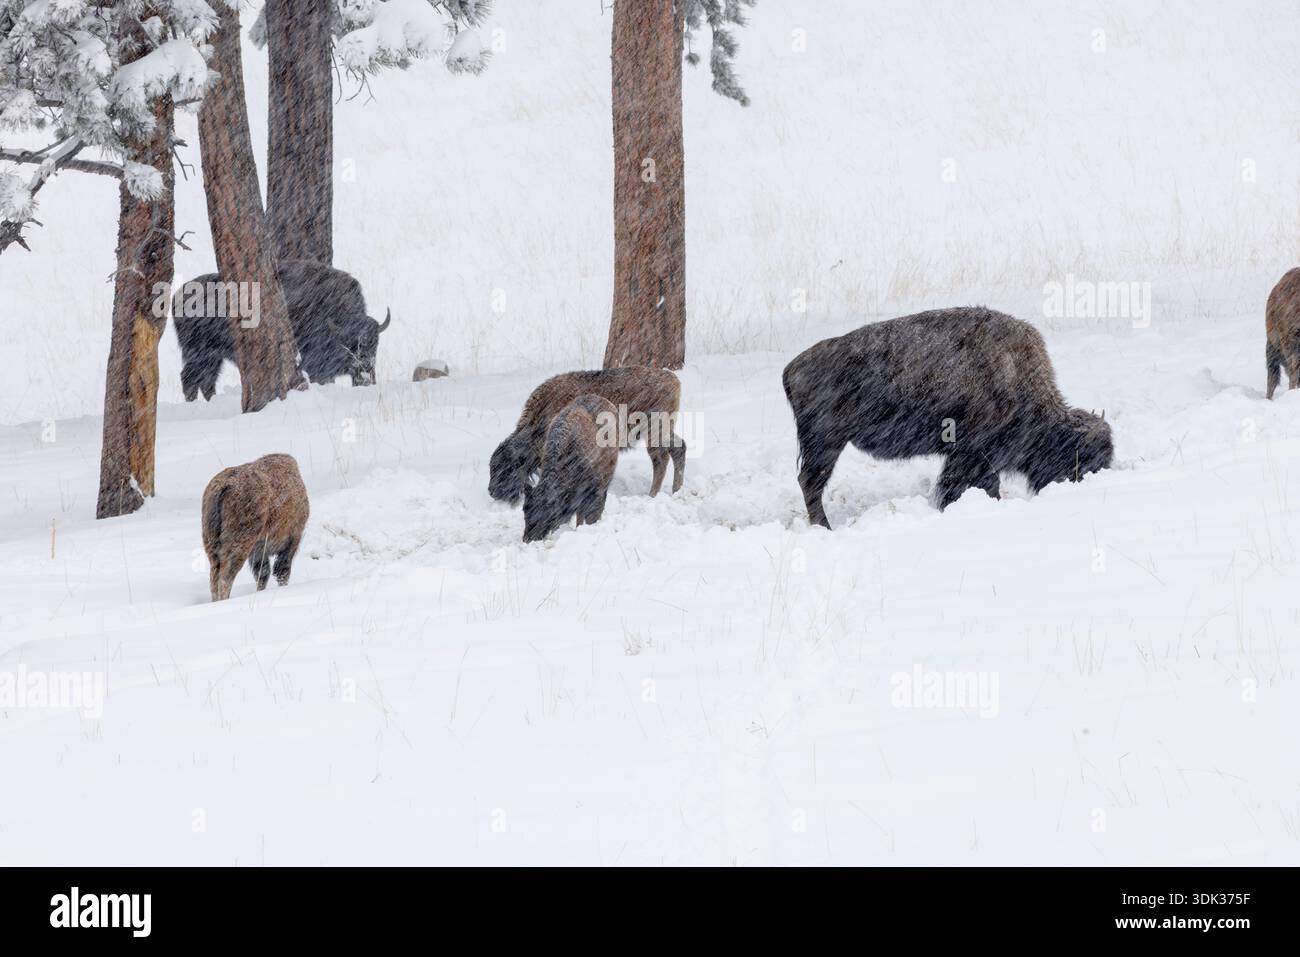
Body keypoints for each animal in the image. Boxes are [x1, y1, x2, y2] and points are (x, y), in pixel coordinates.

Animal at [172, 259, 391, 400]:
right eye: (348, 345)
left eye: (376, 343)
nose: (366, 370)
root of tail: (177, 297)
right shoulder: (315, 365)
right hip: (200, 354)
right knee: (190, 379)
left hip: (213, 358)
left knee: (205, 381)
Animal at [782, 307, 1113, 528]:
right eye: (1083, 456)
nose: (1089, 481)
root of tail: (792, 367)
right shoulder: (972, 455)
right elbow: (972, 485)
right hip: (826, 443)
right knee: (811, 482)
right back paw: (824, 527)